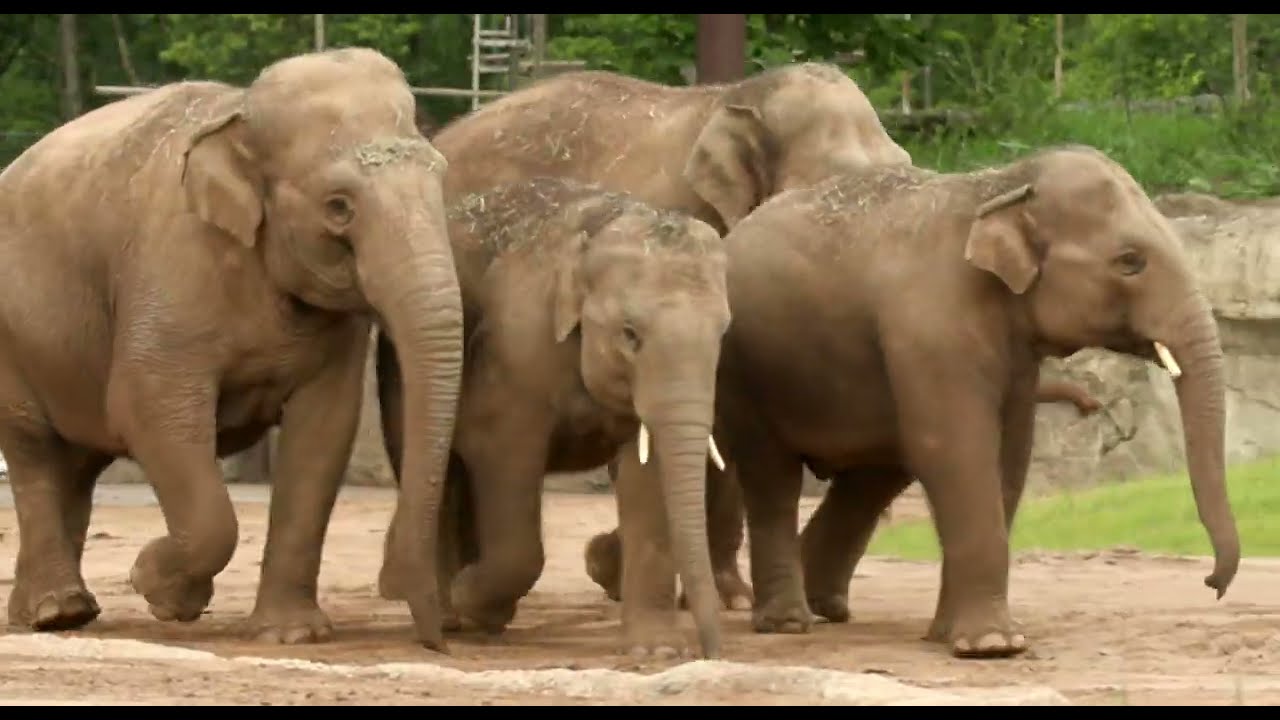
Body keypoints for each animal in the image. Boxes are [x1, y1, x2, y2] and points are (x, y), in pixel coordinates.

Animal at [0, 48, 463, 651]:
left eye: (440, 176)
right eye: (338, 206)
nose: (437, 640)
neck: (238, 115)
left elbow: (325, 428)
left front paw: (291, 635)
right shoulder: (173, 269)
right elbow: (148, 408)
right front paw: (160, 589)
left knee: (75, 463)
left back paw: (60, 613)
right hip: (11, 339)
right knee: (33, 448)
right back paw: (56, 613)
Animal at [375, 177, 729, 658]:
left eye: (723, 332)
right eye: (630, 334)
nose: (713, 653)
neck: (598, 228)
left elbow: (648, 473)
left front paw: (656, 652)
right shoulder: (514, 355)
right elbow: (505, 456)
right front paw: (475, 602)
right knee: (439, 475)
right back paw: (450, 615)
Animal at [623, 145, 1238, 658]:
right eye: (1130, 261)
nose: (1210, 583)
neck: (1000, 186)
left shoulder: (1015, 355)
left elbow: (1007, 458)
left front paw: (952, 636)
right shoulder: (932, 326)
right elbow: (954, 448)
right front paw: (992, 646)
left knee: (871, 475)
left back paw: (826, 607)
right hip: (744, 377)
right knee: (773, 475)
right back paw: (789, 623)